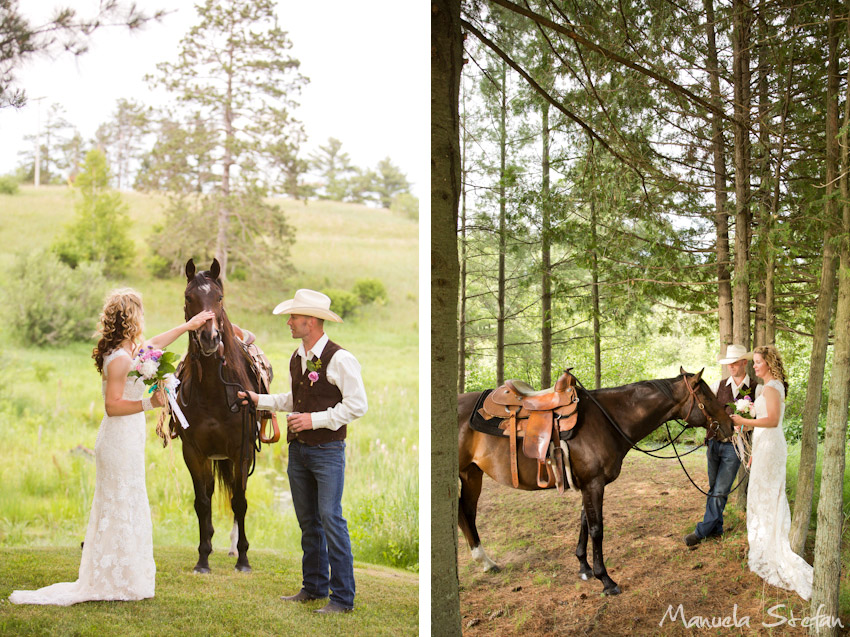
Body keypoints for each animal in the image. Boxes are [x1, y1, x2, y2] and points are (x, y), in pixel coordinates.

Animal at [171, 258, 264, 572]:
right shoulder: (193, 452)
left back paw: (235, 548)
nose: (209, 337)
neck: (213, 391)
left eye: (219, 297)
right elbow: (202, 502)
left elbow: (239, 502)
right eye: (189, 297)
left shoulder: (241, 451)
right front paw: (202, 558)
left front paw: (244, 558)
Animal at [460, 368, 732, 596]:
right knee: (466, 513)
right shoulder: (594, 484)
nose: (730, 425)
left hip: (471, 474)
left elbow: (583, 522)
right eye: (708, 397)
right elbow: (596, 529)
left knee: (466, 514)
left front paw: (584, 567)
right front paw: (606, 580)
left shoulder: (587, 485)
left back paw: (486, 563)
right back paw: (484, 561)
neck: (608, 421)